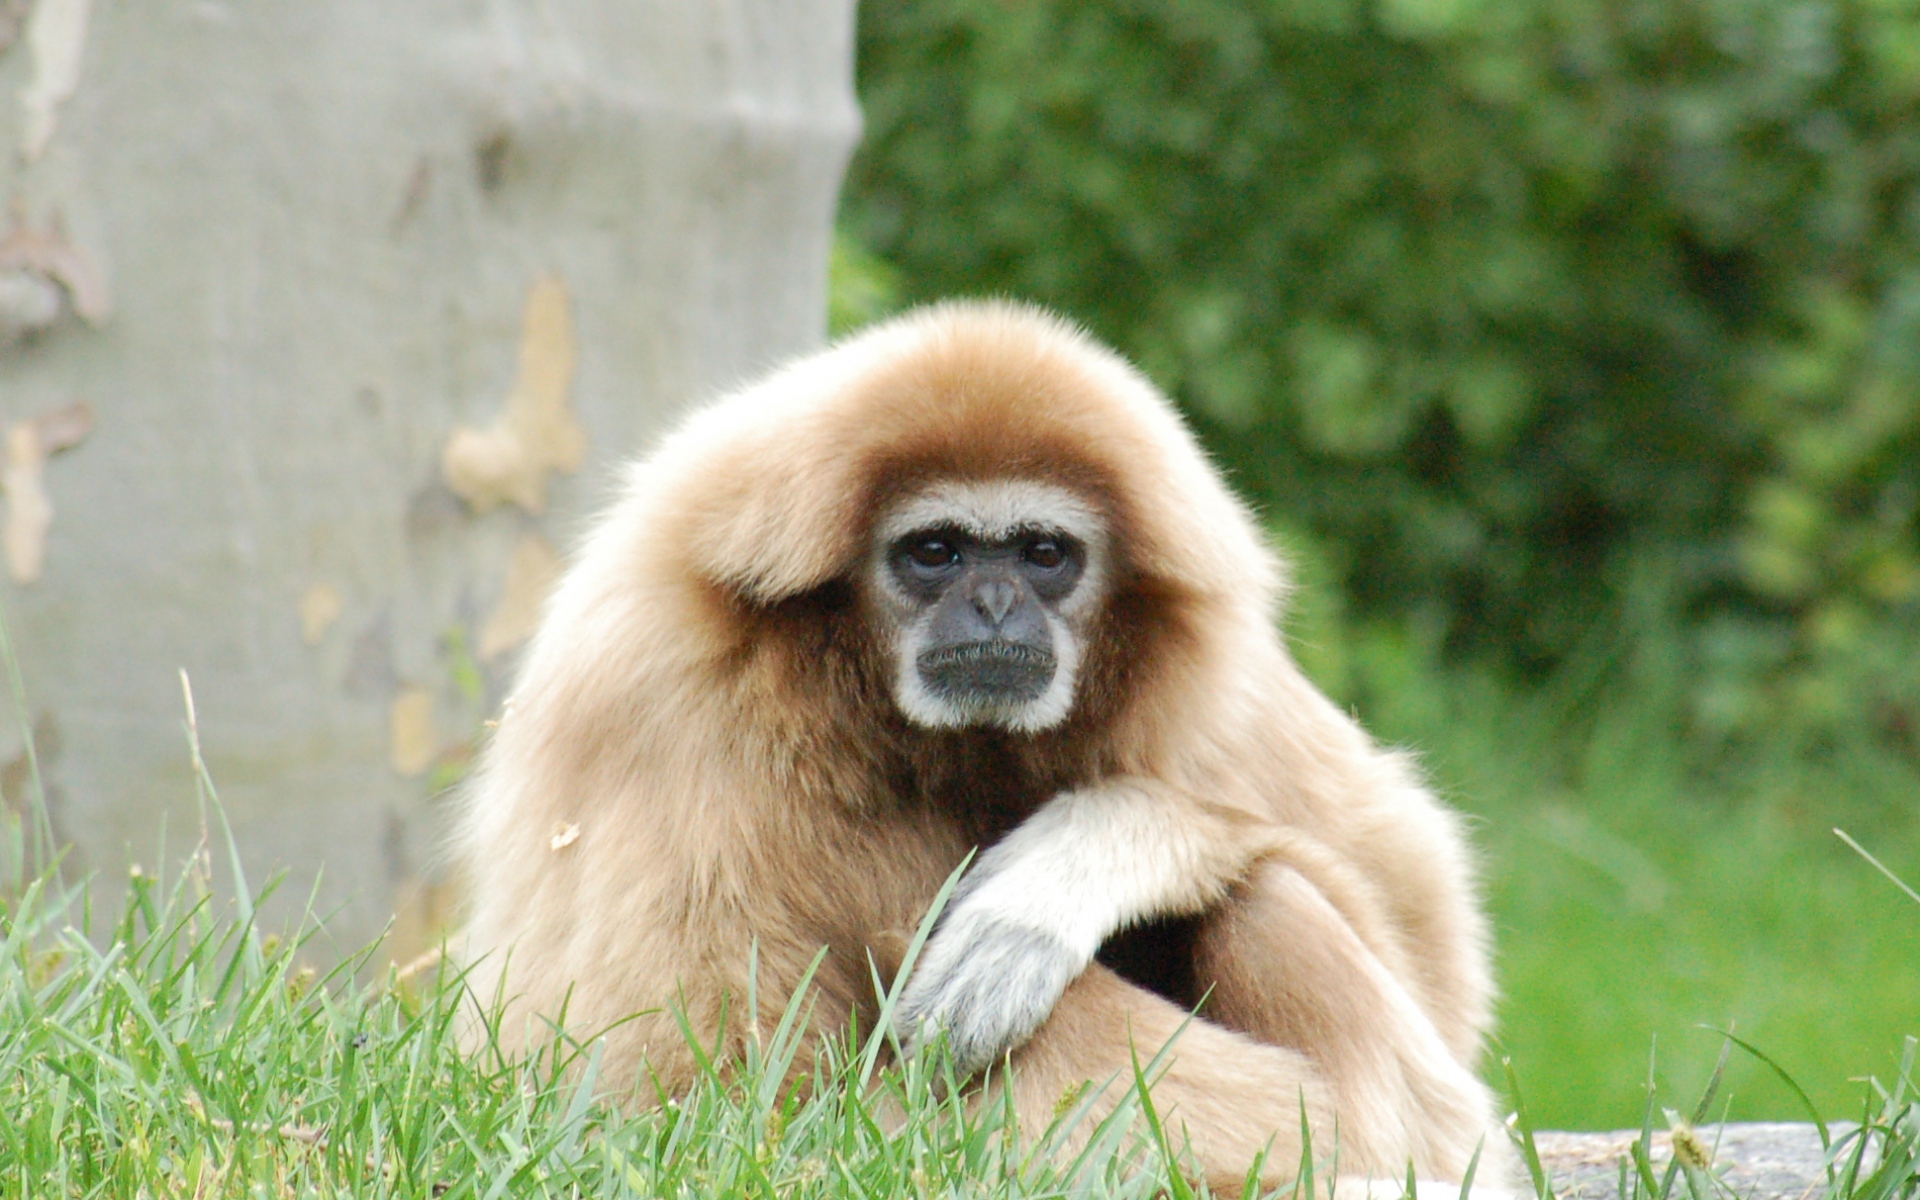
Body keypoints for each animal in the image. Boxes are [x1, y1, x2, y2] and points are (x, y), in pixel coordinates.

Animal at [455, 301, 1511, 1192]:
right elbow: (702, 1107)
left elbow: (1433, 953)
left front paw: (1059, 879)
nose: (997, 604)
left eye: (1044, 554)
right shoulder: (665, 701)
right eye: (936, 552)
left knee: (1269, 895)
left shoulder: (1211, 683)